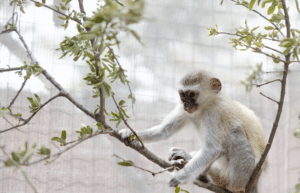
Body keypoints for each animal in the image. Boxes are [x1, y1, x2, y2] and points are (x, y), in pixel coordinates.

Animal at [119, 71, 268, 193]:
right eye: (182, 95)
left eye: (191, 94)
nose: (186, 104)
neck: (205, 106)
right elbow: (165, 130)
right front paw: (129, 133)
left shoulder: (214, 114)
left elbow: (212, 148)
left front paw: (181, 176)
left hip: (245, 175)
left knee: (235, 131)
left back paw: (228, 184)